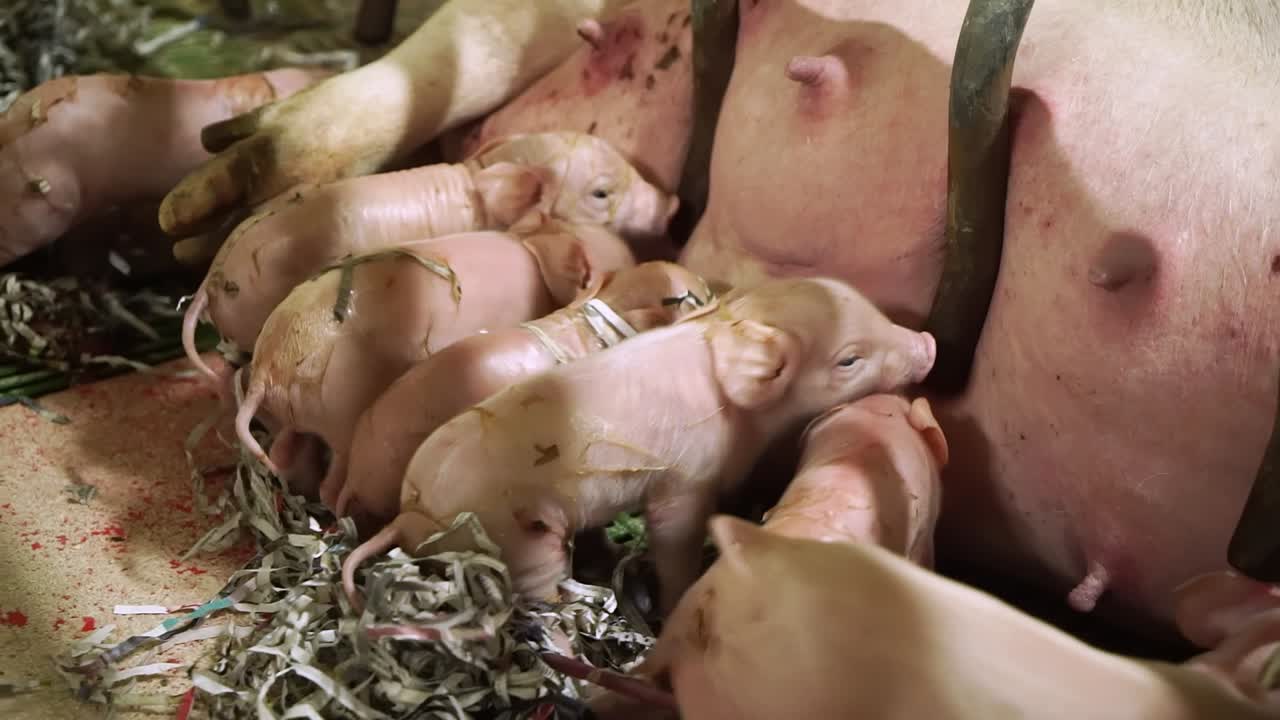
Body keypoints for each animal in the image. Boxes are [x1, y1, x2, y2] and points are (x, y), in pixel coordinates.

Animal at [234, 215, 637, 505]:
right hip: (339, 414)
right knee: (330, 487)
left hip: (294, 416)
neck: (534, 249)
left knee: (283, 453)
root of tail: (268, 369)